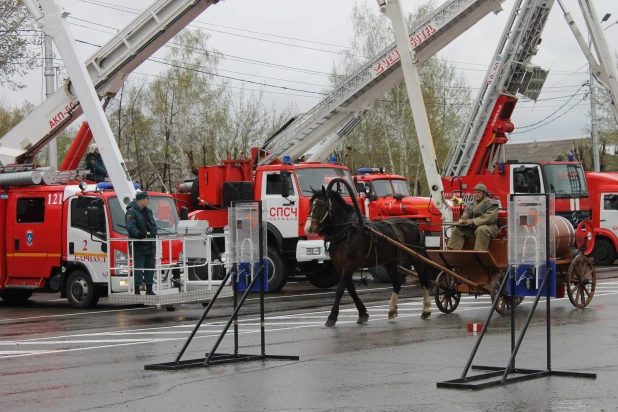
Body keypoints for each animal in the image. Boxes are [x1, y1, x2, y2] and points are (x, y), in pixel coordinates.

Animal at [304, 188, 434, 326]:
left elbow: (340, 289)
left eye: (321, 205)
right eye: (310, 204)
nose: (308, 228)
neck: (346, 232)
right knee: (396, 283)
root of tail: (413, 223)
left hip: (414, 256)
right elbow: (350, 289)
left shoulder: (349, 265)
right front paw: (362, 313)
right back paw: (392, 310)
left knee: (423, 278)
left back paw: (426, 309)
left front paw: (332, 316)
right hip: (391, 261)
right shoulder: (340, 267)